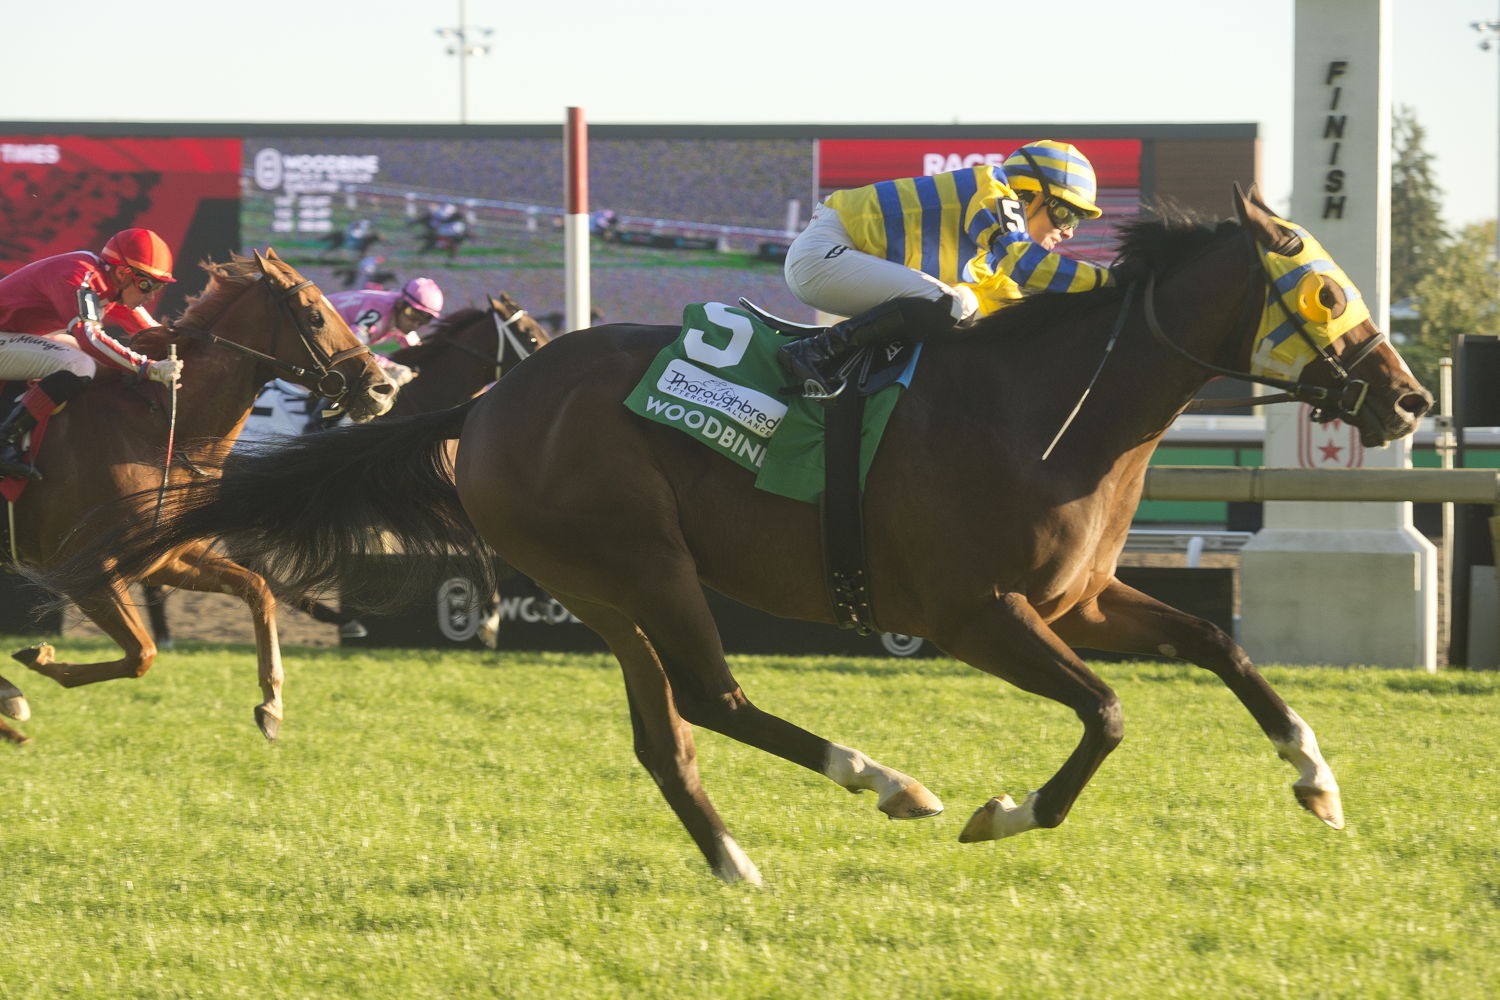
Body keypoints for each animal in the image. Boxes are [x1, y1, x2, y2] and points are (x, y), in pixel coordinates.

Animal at [0, 254, 393, 746]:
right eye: (316, 316)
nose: (382, 388)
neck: (159, 429)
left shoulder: (166, 556)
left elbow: (257, 588)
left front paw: (272, 705)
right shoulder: (85, 571)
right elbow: (143, 654)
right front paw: (34, 665)